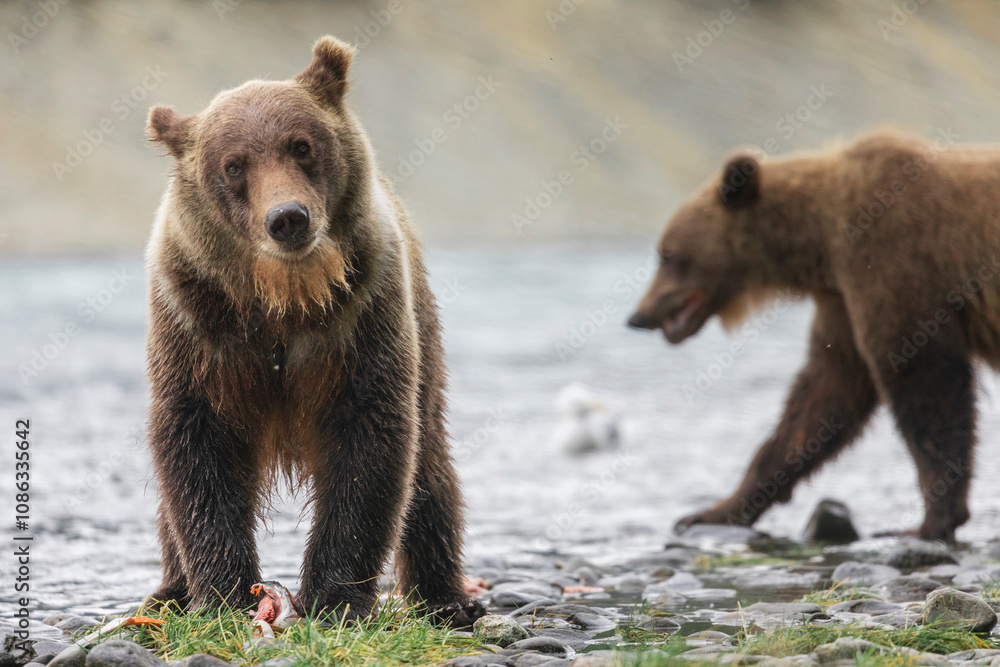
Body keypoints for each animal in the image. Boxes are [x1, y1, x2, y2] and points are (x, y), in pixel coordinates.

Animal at [142, 35, 485, 627]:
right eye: (233, 165)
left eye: (301, 145)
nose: (288, 218)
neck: (284, 297)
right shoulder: (200, 323)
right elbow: (196, 446)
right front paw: (224, 594)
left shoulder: (361, 316)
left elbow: (368, 441)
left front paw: (334, 597)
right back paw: (169, 592)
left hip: (423, 325)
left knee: (430, 465)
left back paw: (445, 597)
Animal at [627, 128, 996, 543]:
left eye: (667, 254)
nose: (638, 316)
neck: (819, 243)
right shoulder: (841, 298)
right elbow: (824, 393)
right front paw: (712, 511)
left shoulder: (892, 258)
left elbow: (925, 378)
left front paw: (930, 520)